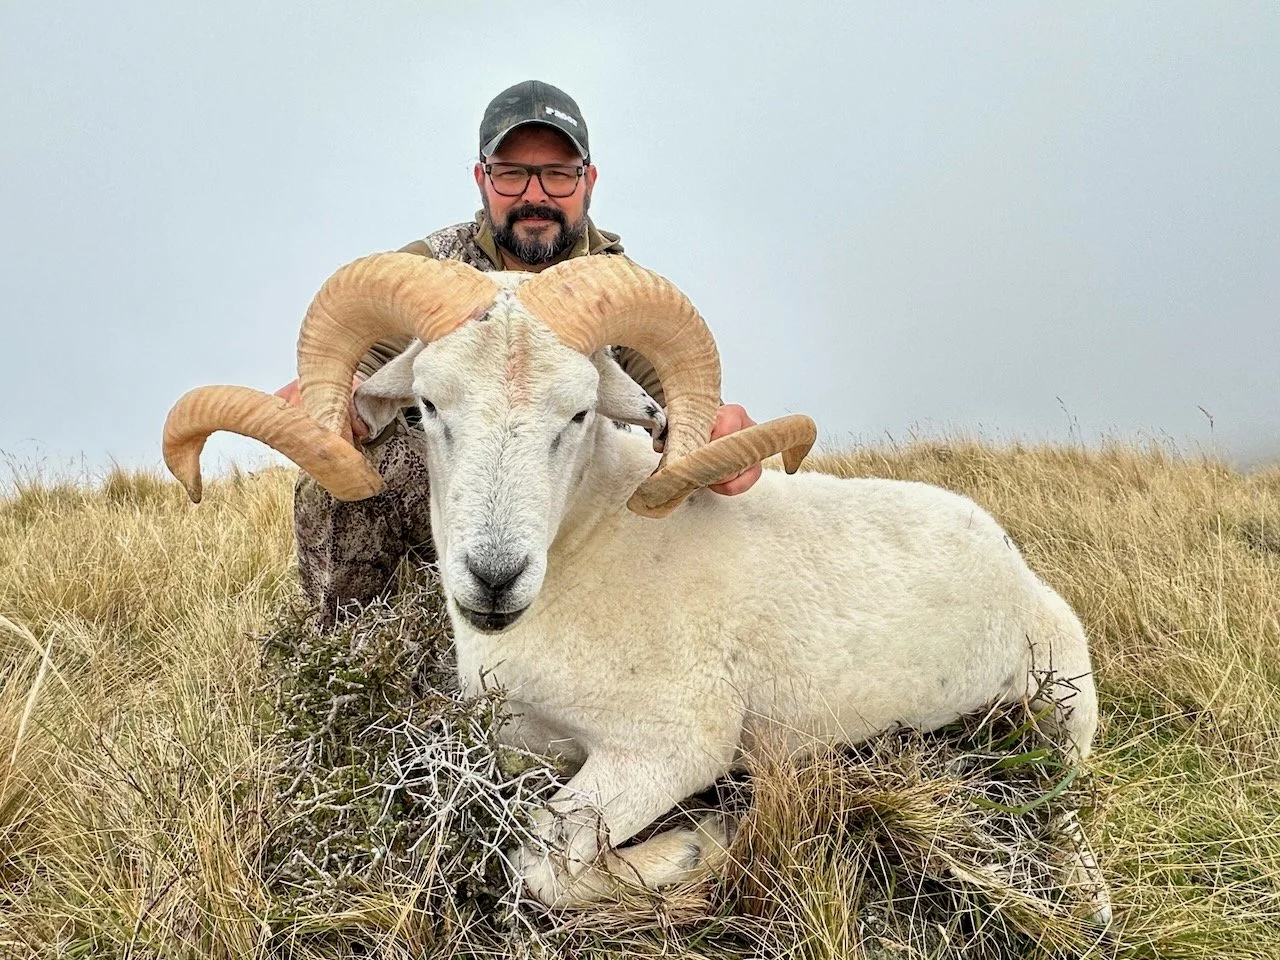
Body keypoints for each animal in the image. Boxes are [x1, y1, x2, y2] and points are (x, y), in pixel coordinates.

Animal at [163, 252, 1109, 922]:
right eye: (426, 408)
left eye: (579, 412)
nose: (495, 577)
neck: (591, 549)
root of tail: (1006, 553)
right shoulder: (524, 744)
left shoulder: (671, 749)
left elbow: (539, 865)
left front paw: (700, 847)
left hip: (1064, 710)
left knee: (1068, 810)